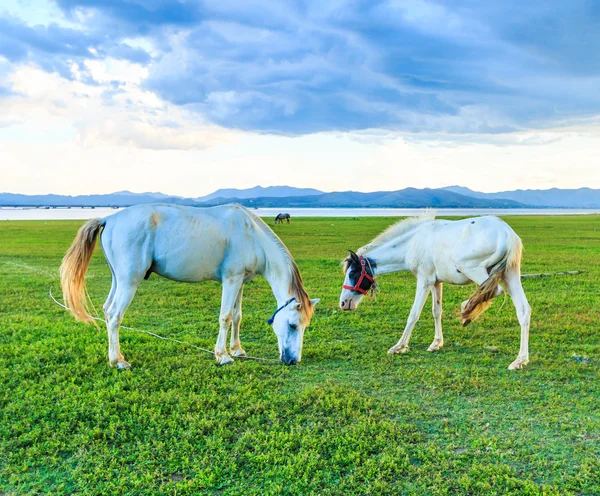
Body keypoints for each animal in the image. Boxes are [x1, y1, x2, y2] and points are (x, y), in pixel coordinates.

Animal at [61, 202, 322, 368]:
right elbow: (226, 317)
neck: (251, 235)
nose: (292, 361)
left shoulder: (240, 282)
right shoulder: (231, 280)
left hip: (119, 280)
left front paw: (237, 349)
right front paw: (223, 356)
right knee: (115, 315)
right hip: (128, 282)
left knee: (107, 311)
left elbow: (237, 316)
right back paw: (118, 361)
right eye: (292, 325)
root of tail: (109, 218)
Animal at [340, 211, 532, 370]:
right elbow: (436, 311)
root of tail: (507, 234)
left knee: (494, 290)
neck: (413, 242)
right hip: (510, 274)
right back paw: (520, 360)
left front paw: (399, 347)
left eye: (353, 273)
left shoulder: (424, 281)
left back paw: (467, 309)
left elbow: (413, 314)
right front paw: (436, 343)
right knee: (523, 310)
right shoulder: (436, 282)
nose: (343, 303)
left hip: (472, 268)